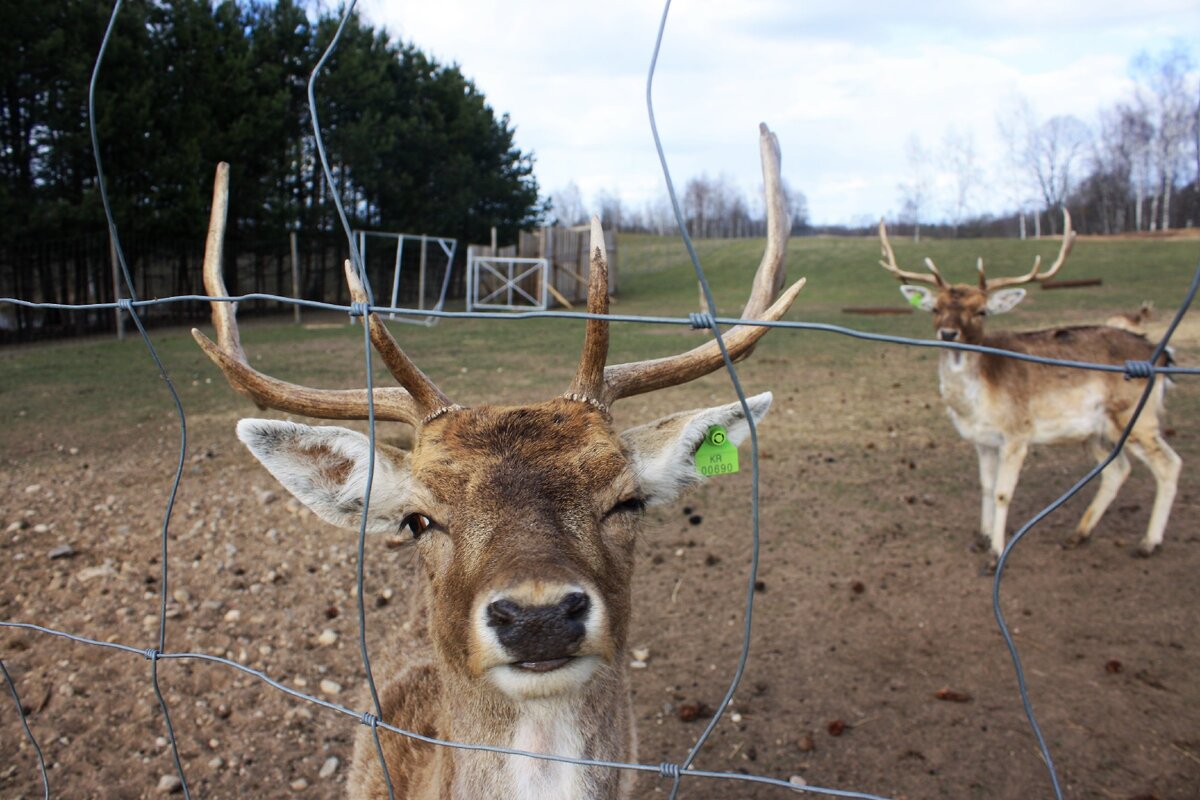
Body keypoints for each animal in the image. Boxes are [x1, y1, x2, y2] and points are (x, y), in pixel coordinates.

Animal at [883, 206, 1180, 568]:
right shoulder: (981, 440)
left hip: (1137, 417)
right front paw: (982, 538)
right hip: (1096, 431)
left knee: (1170, 465)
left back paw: (1149, 543)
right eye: (936, 308)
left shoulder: (1017, 434)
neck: (975, 405)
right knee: (1118, 469)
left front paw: (996, 553)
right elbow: (985, 486)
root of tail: (1163, 355)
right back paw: (1077, 535)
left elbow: (1002, 492)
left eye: (981, 311)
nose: (949, 333)